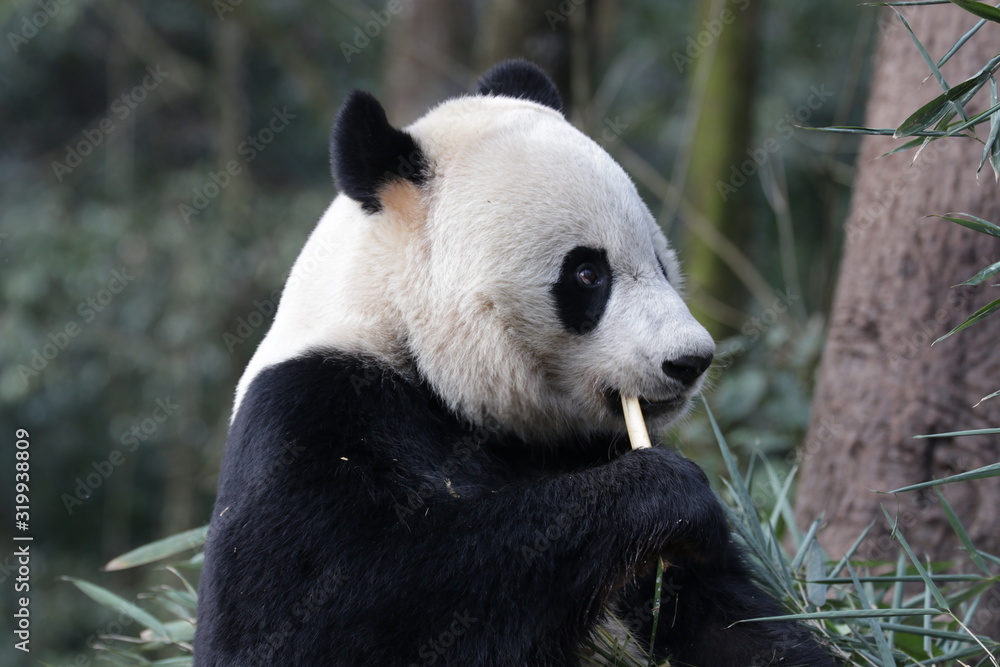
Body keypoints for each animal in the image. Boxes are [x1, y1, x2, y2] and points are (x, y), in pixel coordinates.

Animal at [194, 60, 833, 667]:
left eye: (660, 262)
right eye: (587, 273)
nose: (689, 361)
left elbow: (732, 620)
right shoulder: (313, 413)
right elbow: (309, 623)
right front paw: (670, 495)